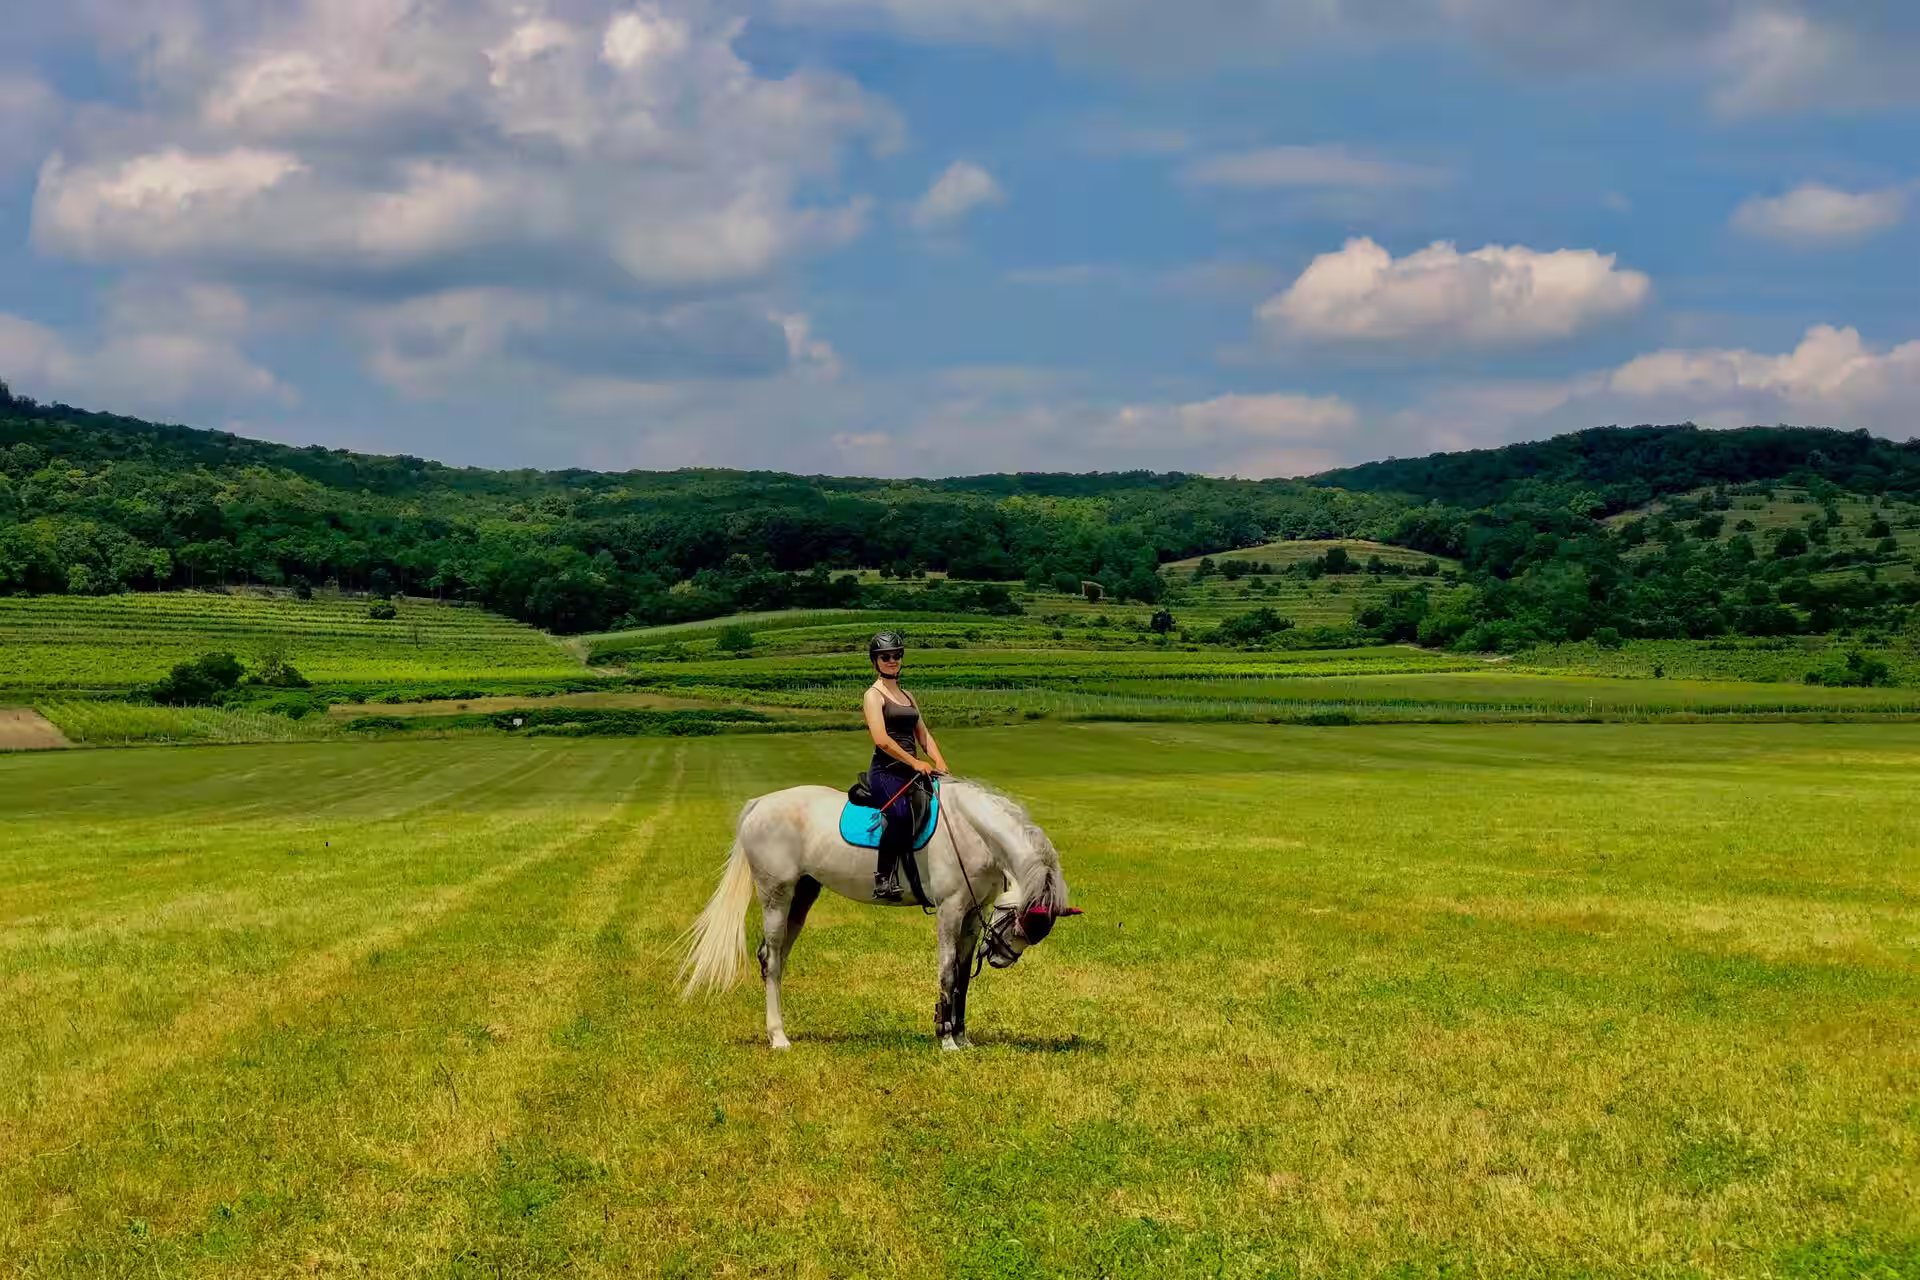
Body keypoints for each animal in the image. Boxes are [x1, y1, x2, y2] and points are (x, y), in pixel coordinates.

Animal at [678, 777, 1081, 1050]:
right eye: (1020, 920)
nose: (1001, 958)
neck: (971, 830)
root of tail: (760, 803)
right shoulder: (950, 910)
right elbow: (947, 972)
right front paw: (946, 1039)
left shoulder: (971, 913)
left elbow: (963, 977)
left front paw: (962, 1037)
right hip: (775, 895)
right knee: (772, 959)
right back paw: (778, 1037)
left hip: (803, 896)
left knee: (776, 959)